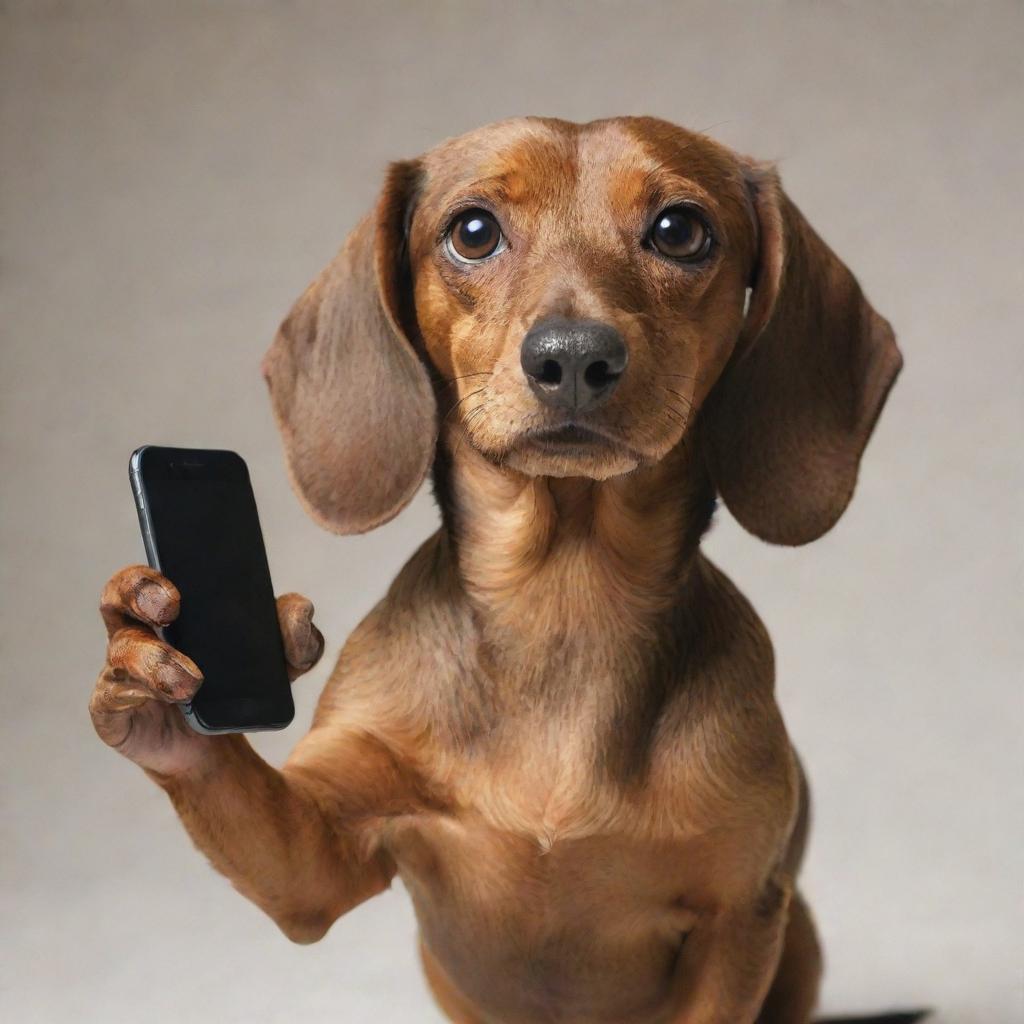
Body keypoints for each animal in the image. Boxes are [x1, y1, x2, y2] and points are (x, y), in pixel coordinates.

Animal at [90, 116, 905, 1019]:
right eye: (473, 230)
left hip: (799, 940)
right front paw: (141, 660)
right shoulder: (320, 862)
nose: (573, 357)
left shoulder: (739, 918)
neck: (561, 597)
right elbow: (253, 806)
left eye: (680, 230)